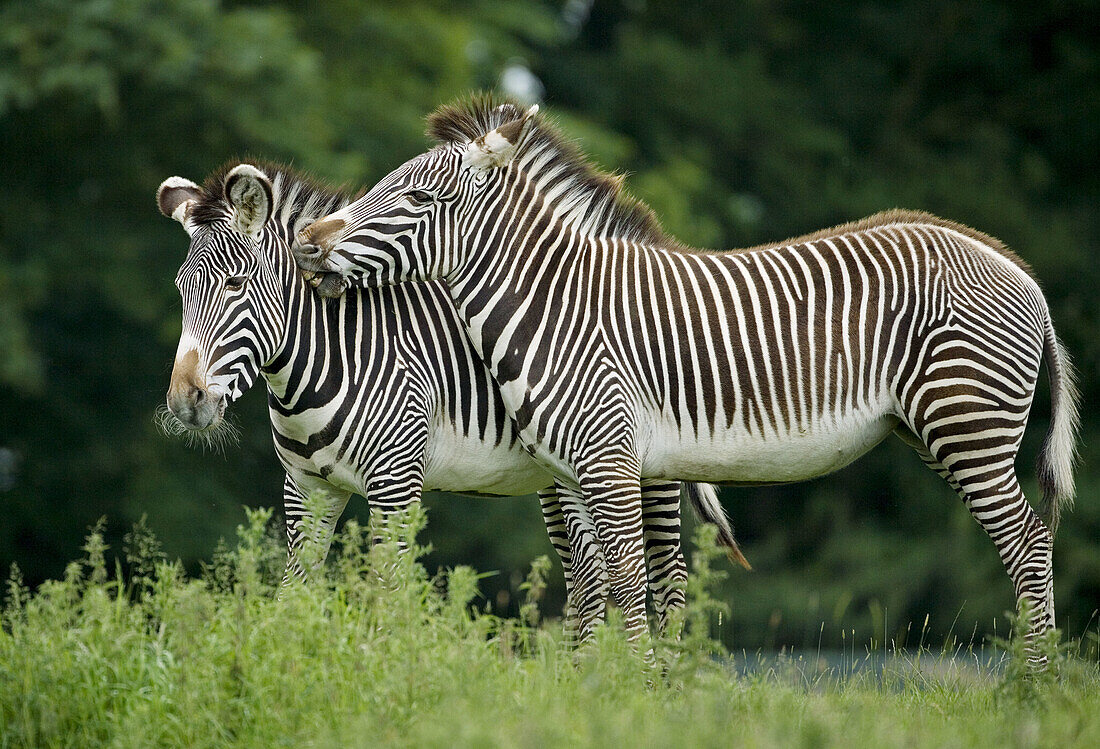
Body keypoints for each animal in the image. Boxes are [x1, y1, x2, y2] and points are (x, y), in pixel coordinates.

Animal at [155, 159, 743, 629]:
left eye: (235, 284)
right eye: (182, 289)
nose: (186, 401)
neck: (327, 355)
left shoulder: (395, 482)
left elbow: (387, 592)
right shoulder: (307, 488)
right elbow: (291, 596)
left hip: (646, 465)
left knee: (666, 579)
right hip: (564, 473)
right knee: (588, 579)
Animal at [294, 95, 1082, 655]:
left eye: (418, 199)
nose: (307, 242)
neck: (554, 304)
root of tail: (1016, 268)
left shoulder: (613, 460)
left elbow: (631, 580)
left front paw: (639, 691)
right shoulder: (582, 471)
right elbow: (602, 584)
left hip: (969, 427)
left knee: (1028, 544)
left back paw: (1030, 689)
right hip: (930, 429)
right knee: (1028, 543)